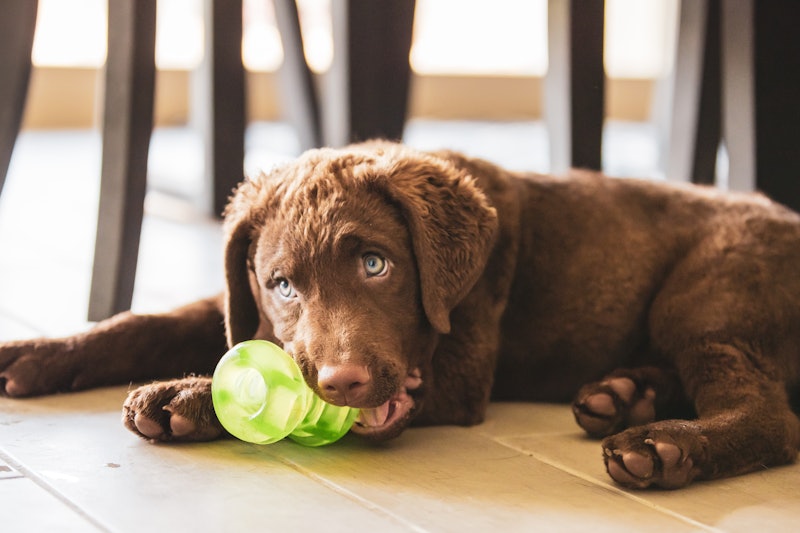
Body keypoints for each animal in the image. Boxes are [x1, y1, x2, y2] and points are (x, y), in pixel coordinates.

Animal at [1, 142, 800, 486]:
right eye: (282, 284)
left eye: (376, 265)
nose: (343, 379)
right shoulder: (237, 301)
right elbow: (146, 323)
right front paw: (38, 352)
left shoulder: (463, 362)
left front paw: (189, 397)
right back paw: (622, 394)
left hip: (710, 293)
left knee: (772, 416)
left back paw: (662, 446)